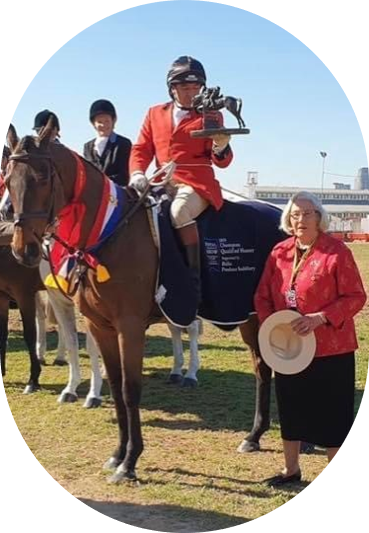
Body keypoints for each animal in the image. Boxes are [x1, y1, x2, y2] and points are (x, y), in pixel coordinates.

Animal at [6, 124, 274, 482]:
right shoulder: (101, 326)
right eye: (9, 179)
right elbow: (116, 385)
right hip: (250, 317)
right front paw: (118, 454)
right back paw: (254, 435)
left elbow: (131, 389)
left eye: (42, 178)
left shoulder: (130, 328)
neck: (110, 235)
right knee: (262, 368)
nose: (24, 250)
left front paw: (130, 461)